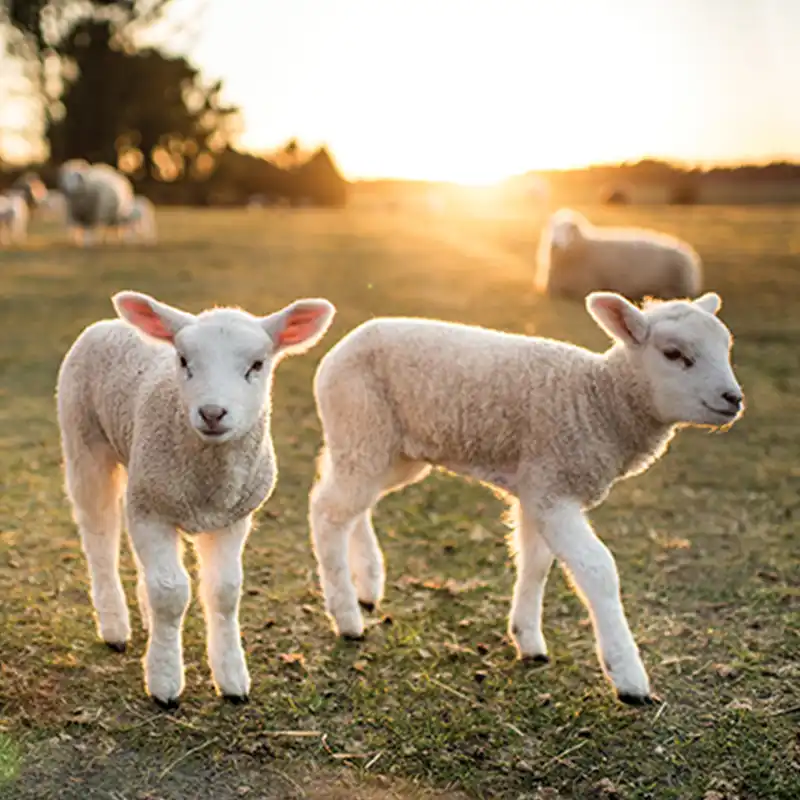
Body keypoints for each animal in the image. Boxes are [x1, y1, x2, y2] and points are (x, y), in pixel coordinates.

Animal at [56, 291, 336, 707]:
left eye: (257, 365)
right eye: (184, 361)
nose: (212, 412)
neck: (209, 484)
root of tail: (109, 323)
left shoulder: (231, 517)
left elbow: (224, 592)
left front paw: (232, 679)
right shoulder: (152, 509)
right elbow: (171, 593)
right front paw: (165, 681)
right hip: (85, 444)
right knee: (99, 539)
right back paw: (115, 626)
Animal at [308, 291, 744, 704]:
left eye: (725, 347)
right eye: (674, 354)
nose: (733, 398)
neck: (600, 400)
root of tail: (347, 342)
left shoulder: (539, 486)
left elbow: (536, 563)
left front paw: (528, 639)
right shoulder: (552, 489)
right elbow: (597, 570)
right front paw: (628, 676)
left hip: (390, 451)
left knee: (352, 503)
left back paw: (367, 584)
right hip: (362, 425)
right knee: (327, 511)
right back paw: (346, 618)